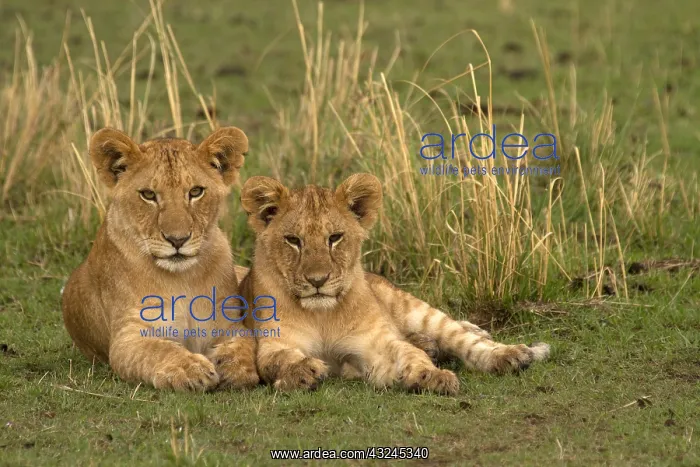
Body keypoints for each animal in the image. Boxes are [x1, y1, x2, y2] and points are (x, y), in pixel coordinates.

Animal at [61, 127, 259, 391]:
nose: (177, 239)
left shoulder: (229, 324)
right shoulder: (127, 338)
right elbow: (158, 350)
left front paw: (233, 368)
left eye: (195, 192)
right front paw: (191, 370)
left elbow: (243, 344)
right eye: (148, 194)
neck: (183, 278)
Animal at [235, 173, 550, 395]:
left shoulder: (376, 342)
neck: (322, 314)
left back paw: (512, 354)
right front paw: (301, 371)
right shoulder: (274, 342)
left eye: (335, 238)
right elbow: (279, 359)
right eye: (293, 240)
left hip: (418, 310)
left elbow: (409, 354)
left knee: (464, 339)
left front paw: (432, 376)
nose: (317, 280)